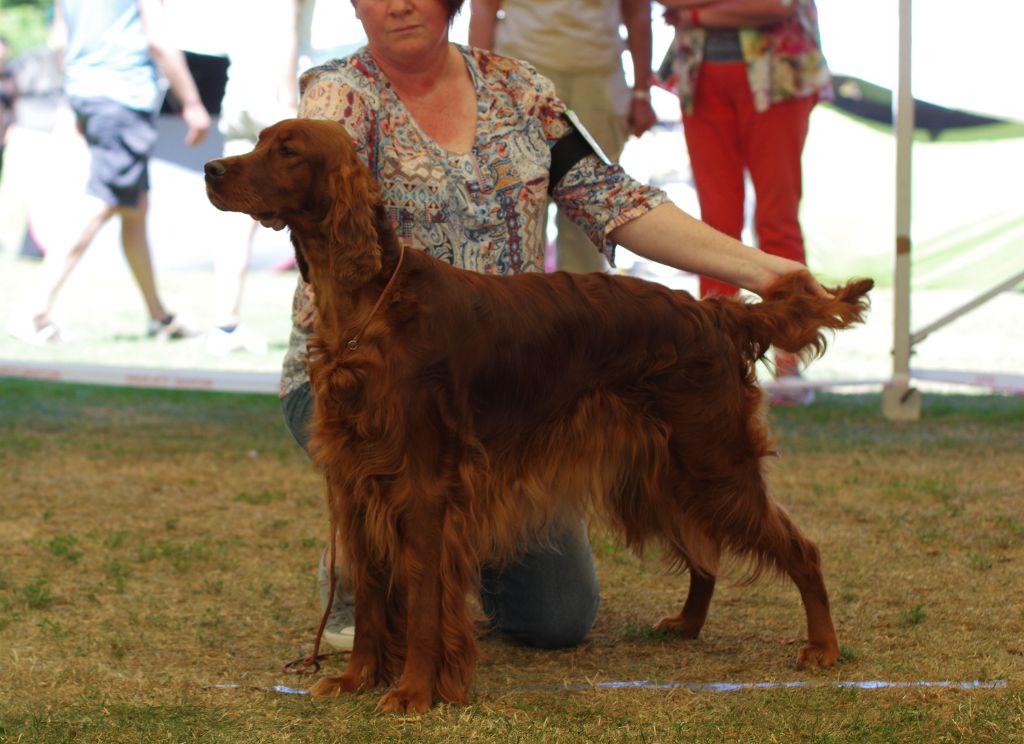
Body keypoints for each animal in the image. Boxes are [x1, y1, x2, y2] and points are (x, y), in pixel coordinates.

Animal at [205, 119, 872, 712]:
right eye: (260, 140)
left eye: (288, 150)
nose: (211, 169)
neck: (369, 307)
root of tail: (715, 312)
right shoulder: (354, 482)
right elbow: (370, 594)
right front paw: (355, 679)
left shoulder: (422, 487)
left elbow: (421, 602)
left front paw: (414, 692)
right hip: (661, 473)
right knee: (703, 549)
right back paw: (687, 622)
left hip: (711, 460)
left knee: (801, 548)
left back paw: (823, 646)